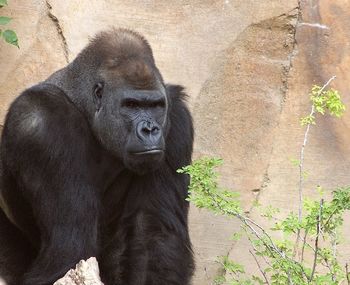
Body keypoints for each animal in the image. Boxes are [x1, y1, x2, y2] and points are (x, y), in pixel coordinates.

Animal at [0, 28, 194, 284]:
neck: (83, 105)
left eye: (155, 106)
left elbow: (154, 235)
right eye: (131, 105)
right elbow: (71, 248)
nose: (150, 129)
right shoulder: (42, 121)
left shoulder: (177, 115)